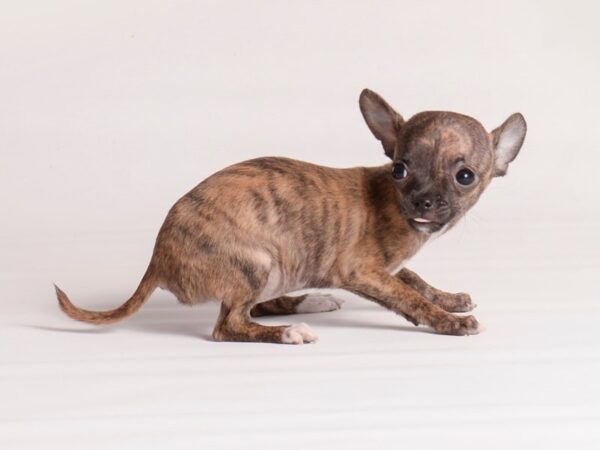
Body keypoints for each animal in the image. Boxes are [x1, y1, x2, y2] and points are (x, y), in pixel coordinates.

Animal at [55, 89, 524, 344]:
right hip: (256, 263)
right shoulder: (363, 271)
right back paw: (288, 330)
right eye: (399, 170)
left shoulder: (387, 267)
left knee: (252, 309)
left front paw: (449, 298)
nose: (424, 202)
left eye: (465, 176)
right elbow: (407, 297)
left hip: (274, 270)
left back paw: (308, 302)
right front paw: (451, 322)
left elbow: (414, 279)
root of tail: (157, 261)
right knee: (229, 325)